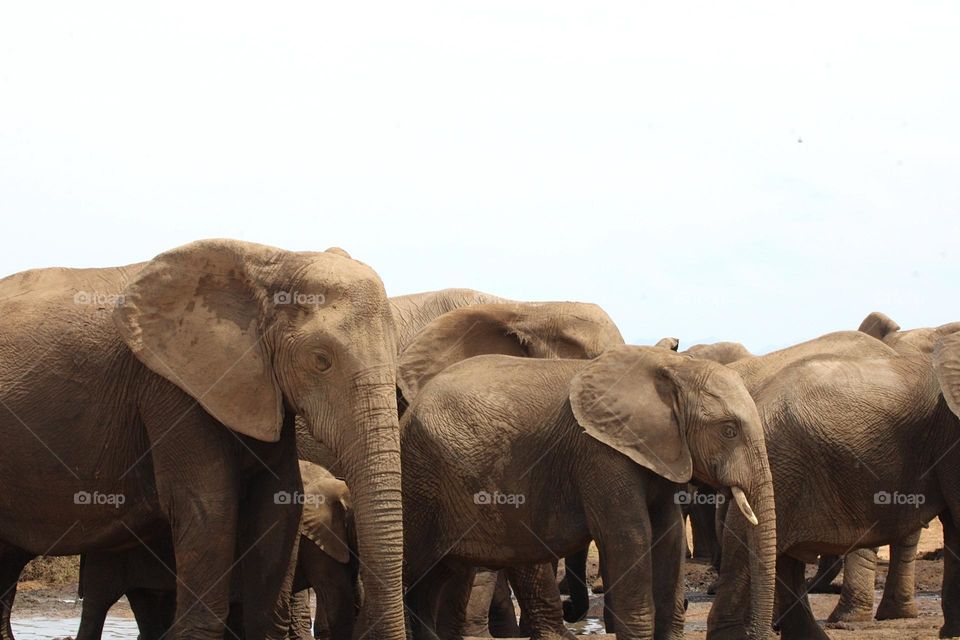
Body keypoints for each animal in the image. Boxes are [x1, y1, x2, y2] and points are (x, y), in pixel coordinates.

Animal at [402, 344, 776, 640]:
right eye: (728, 430)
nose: (765, 633)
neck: (673, 367)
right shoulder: (600, 454)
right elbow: (631, 536)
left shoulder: (662, 452)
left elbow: (666, 534)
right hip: (421, 481)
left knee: (437, 579)